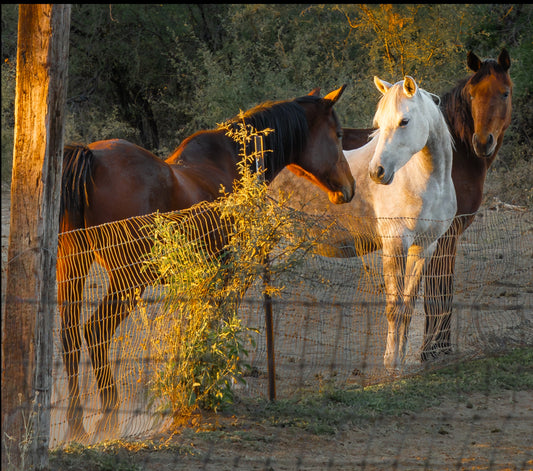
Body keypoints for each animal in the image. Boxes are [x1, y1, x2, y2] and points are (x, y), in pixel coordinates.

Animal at [58, 85, 354, 442]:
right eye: (338, 134)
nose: (350, 188)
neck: (234, 161)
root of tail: (91, 156)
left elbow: (199, 322)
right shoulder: (230, 271)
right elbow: (220, 322)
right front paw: (220, 380)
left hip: (72, 268)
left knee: (70, 336)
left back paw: (76, 425)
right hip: (127, 279)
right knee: (95, 330)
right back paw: (108, 418)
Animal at [272, 76, 456, 372]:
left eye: (404, 121)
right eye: (378, 124)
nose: (377, 173)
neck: (426, 181)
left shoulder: (424, 248)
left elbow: (408, 305)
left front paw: (401, 357)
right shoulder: (395, 243)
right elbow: (394, 306)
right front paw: (391, 362)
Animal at [340, 49, 512, 362]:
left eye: (504, 93)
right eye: (472, 95)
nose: (482, 143)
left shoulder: (433, 238)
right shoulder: (446, 234)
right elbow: (439, 293)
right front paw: (435, 349)